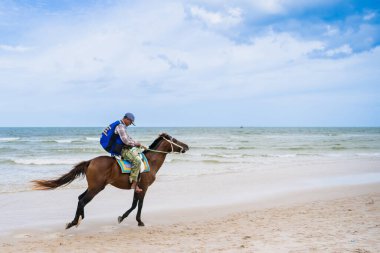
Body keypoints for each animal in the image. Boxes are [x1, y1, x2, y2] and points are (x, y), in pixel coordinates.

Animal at [32, 132, 189, 229]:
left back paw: (77, 219)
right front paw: (138, 221)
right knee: (82, 200)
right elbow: (138, 205)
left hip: (93, 187)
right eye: (175, 140)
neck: (150, 162)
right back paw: (75, 222)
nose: (187, 146)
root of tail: (90, 161)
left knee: (80, 198)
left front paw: (122, 217)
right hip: (96, 188)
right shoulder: (144, 188)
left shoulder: (137, 188)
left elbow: (134, 204)